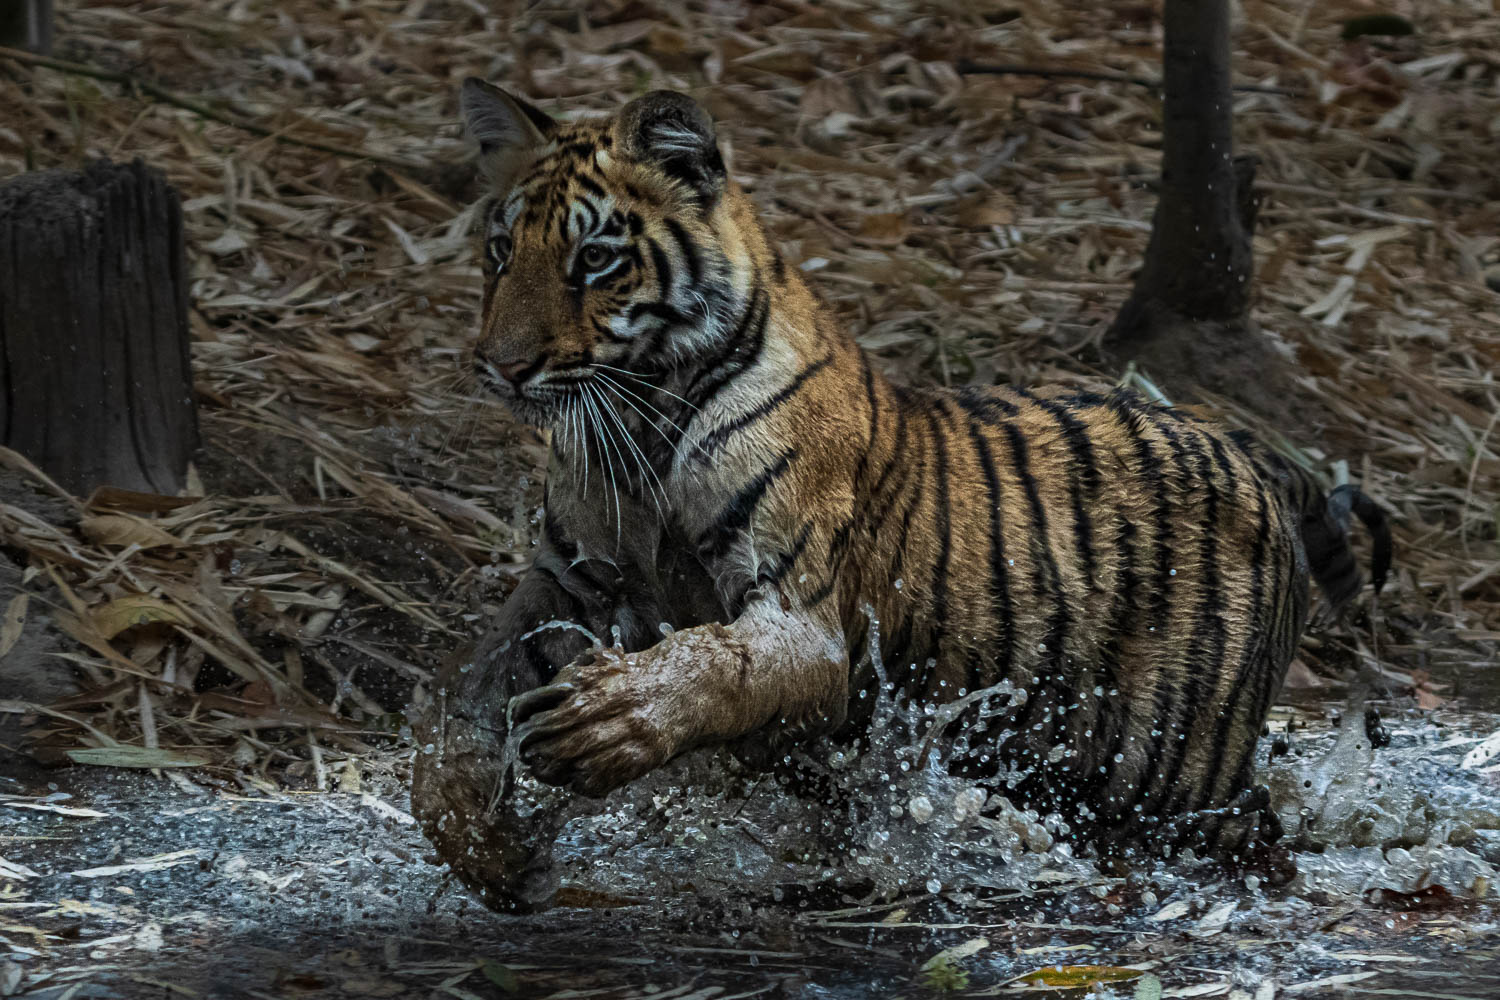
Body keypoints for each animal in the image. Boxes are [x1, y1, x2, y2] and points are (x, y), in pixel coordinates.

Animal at [409, 79, 1392, 911]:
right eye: (502, 251)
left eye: (596, 260)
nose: (499, 367)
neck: (642, 427)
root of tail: (1248, 449)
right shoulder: (570, 579)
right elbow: (464, 689)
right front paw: (483, 844)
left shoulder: (802, 618)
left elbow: (709, 664)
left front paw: (604, 723)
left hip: (1176, 767)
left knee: (1247, 836)